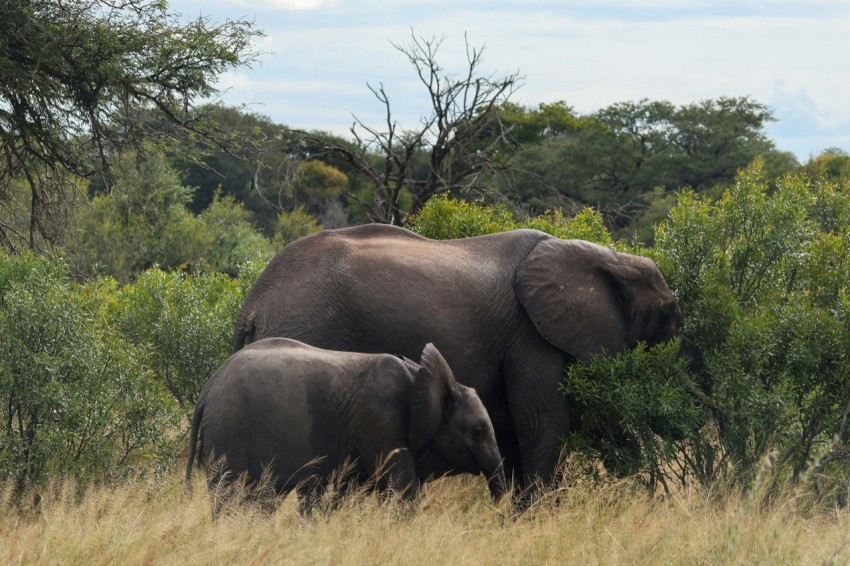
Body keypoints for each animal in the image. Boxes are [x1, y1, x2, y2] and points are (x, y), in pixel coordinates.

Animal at [184, 340, 504, 504]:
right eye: (478, 431)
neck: (421, 376)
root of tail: (207, 390)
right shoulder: (383, 425)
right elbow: (402, 491)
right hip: (230, 435)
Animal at [232, 224, 684, 490]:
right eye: (666, 313)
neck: (605, 255)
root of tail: (253, 303)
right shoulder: (529, 333)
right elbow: (541, 421)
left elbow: (514, 427)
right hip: (306, 327)